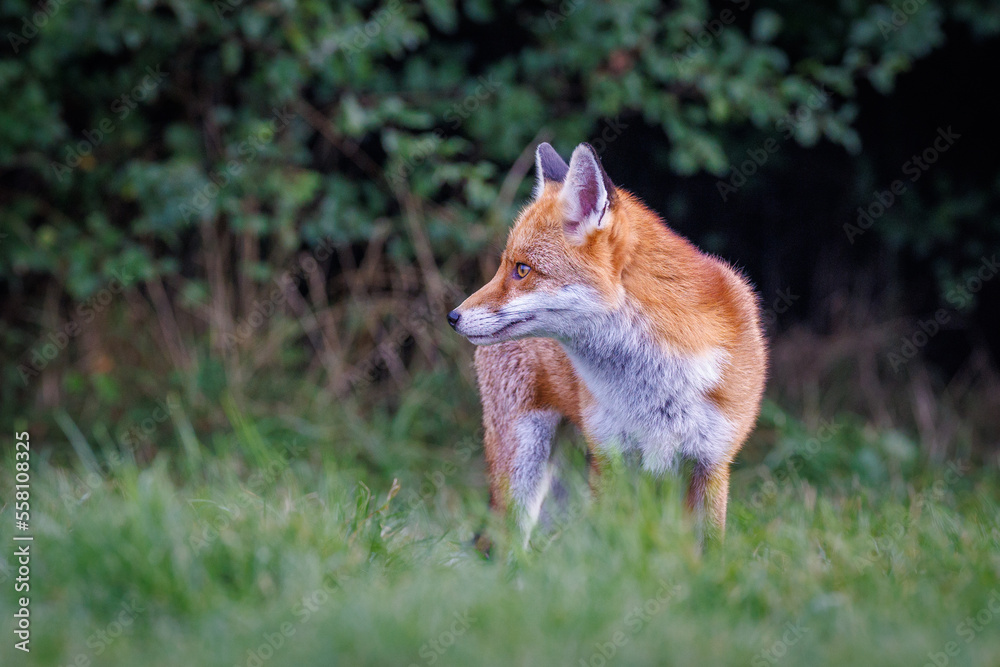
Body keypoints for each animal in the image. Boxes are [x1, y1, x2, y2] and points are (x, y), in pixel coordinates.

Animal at [448, 141, 767, 541]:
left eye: (521, 269)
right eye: (504, 266)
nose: (453, 317)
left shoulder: (712, 463)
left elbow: (708, 547)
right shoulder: (610, 459)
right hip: (525, 460)